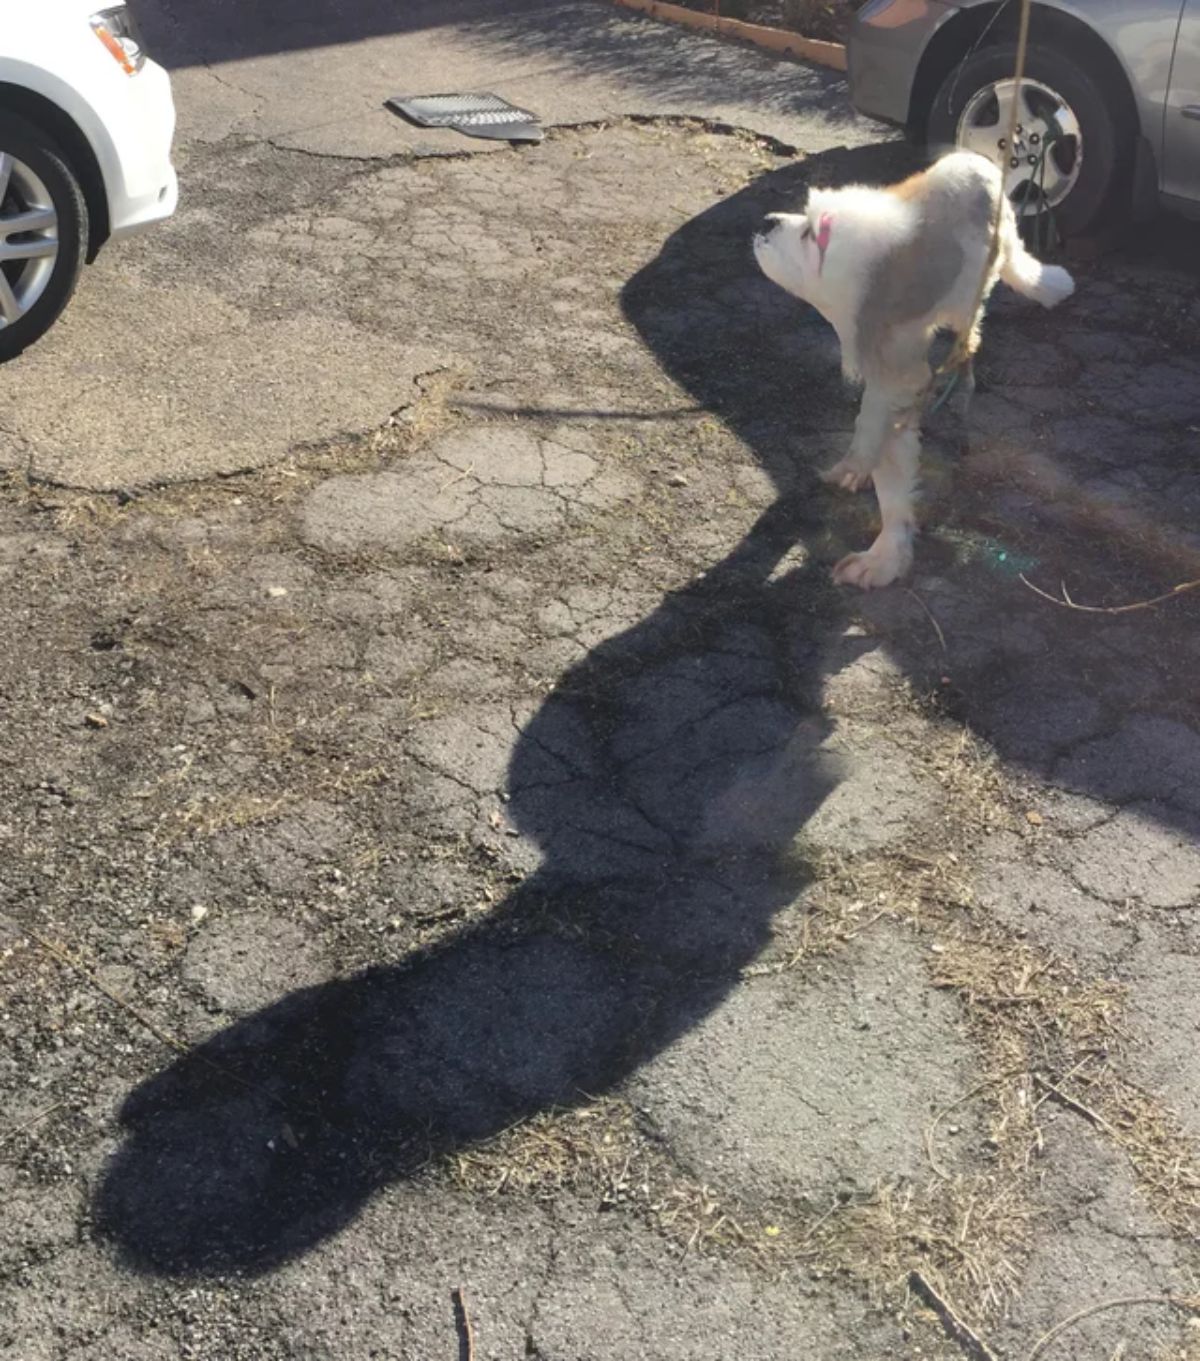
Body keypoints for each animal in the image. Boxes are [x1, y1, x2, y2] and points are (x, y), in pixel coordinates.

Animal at [751, 151, 1072, 587]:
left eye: (810, 236)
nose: (766, 221)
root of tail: (977, 159)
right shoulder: (887, 377)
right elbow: (881, 452)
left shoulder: (897, 383)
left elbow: (885, 459)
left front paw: (883, 556)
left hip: (975, 288)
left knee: (972, 330)